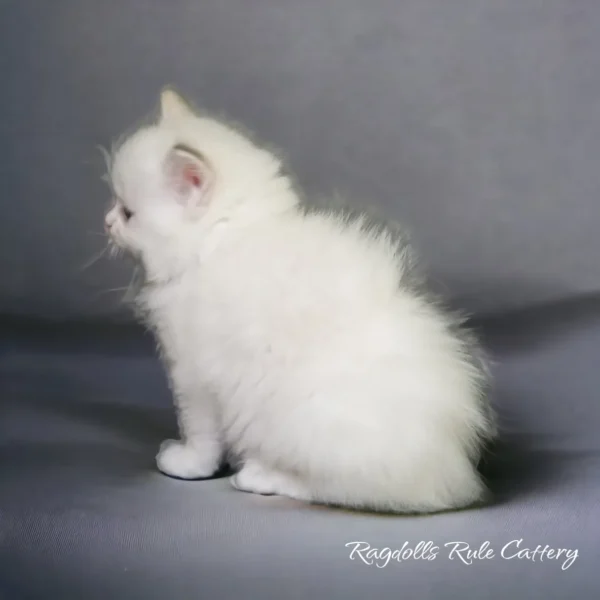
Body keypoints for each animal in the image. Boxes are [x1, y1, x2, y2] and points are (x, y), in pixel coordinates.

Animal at [104, 89, 496, 510]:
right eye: (116, 205)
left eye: (128, 213)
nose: (107, 222)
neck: (222, 242)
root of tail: (452, 474)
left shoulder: (194, 372)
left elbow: (200, 431)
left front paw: (186, 464)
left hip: (303, 421)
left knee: (338, 488)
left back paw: (261, 475)